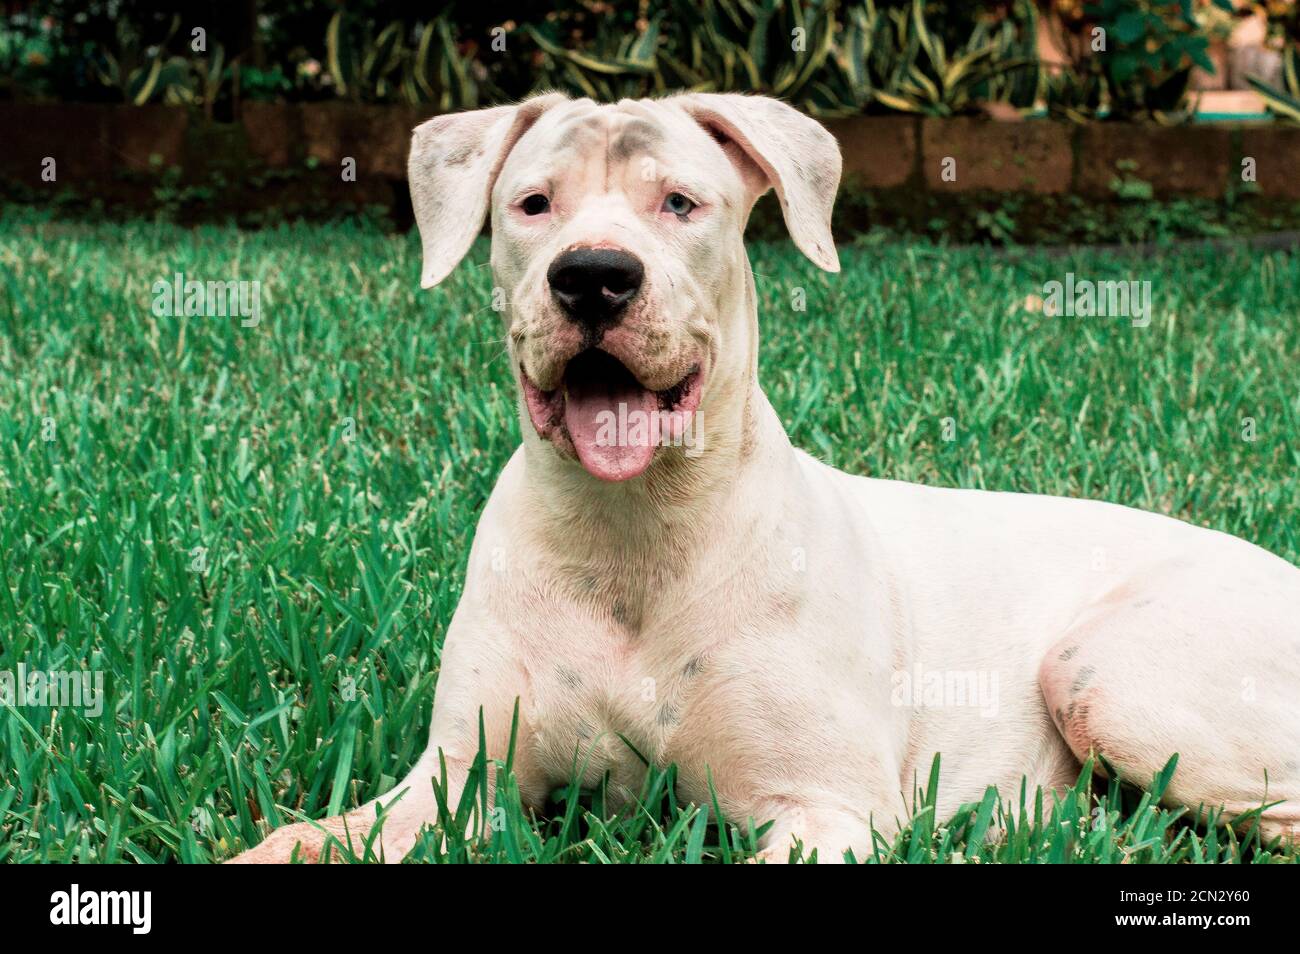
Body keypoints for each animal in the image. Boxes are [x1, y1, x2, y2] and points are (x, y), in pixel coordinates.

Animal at [233, 95, 1300, 868]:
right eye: (533, 205)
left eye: (681, 203)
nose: (594, 276)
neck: (632, 527)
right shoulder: (453, 783)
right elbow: (309, 838)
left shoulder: (827, 807)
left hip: (1106, 674)